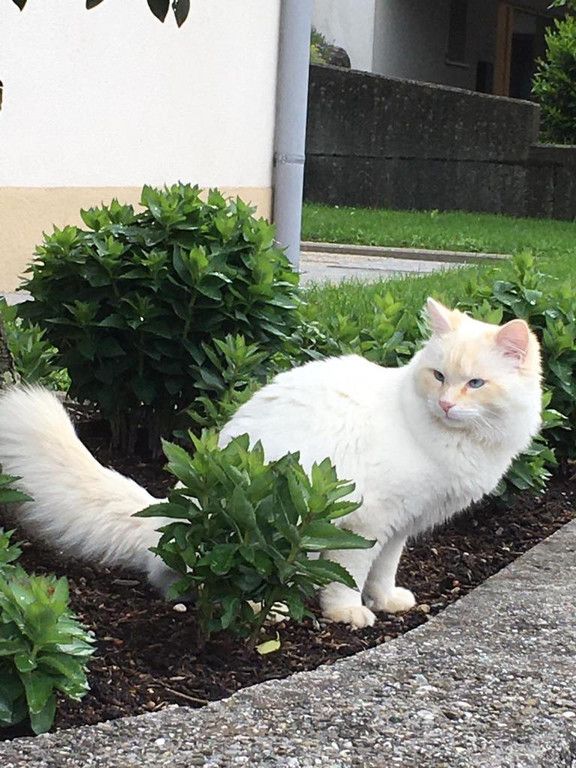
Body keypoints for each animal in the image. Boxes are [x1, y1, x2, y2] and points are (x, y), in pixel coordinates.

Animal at [0, 299, 542, 628]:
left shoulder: (400, 528)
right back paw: (272, 608)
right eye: (438, 376)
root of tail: (178, 511)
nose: (447, 405)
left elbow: (383, 573)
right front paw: (348, 613)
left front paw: (386, 602)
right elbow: (351, 575)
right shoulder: (367, 524)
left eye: (474, 384)